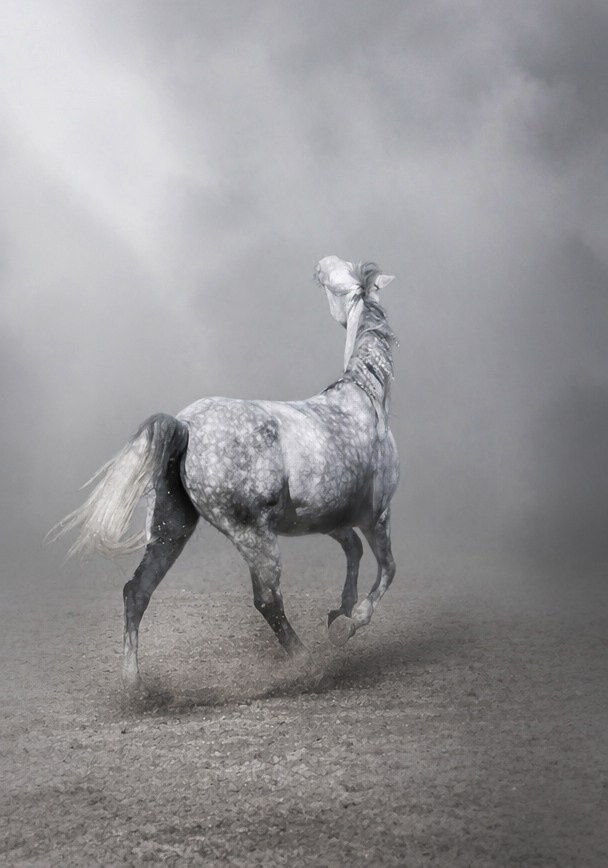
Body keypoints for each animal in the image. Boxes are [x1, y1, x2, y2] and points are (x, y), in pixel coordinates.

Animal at [50, 256, 400, 692]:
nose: (319, 268)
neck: (364, 396)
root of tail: (185, 425)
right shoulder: (377, 516)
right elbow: (386, 569)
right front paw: (351, 622)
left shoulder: (331, 520)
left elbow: (352, 552)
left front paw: (339, 615)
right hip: (254, 538)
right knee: (267, 600)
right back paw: (308, 665)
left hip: (171, 531)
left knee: (136, 591)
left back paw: (136, 686)